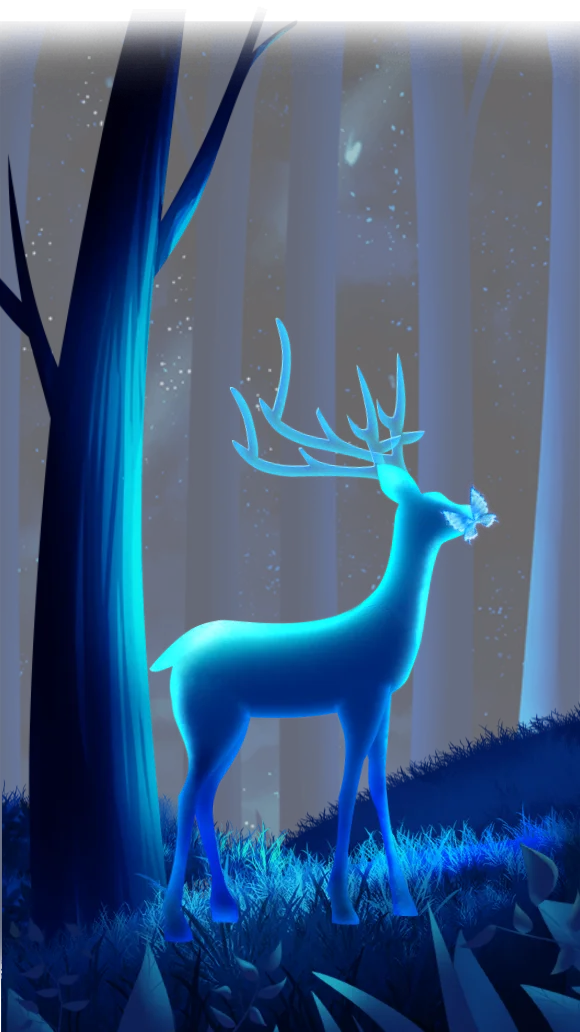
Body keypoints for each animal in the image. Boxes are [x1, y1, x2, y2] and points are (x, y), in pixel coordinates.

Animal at [151, 318, 498, 941]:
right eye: (436, 504)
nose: (476, 515)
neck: (383, 627)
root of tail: (172, 654)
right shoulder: (357, 698)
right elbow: (344, 790)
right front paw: (342, 908)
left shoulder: (385, 700)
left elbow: (380, 788)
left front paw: (403, 903)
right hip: (211, 718)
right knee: (190, 794)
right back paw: (178, 925)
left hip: (226, 724)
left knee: (202, 797)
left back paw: (224, 908)